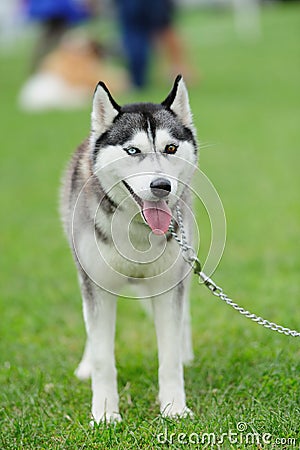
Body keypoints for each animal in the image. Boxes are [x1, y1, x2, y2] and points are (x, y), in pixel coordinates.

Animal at [59, 75, 198, 424]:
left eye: (170, 148)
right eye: (133, 150)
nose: (161, 186)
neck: (138, 232)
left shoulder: (167, 287)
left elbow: (169, 355)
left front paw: (174, 408)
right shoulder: (96, 286)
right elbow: (102, 357)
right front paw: (105, 413)